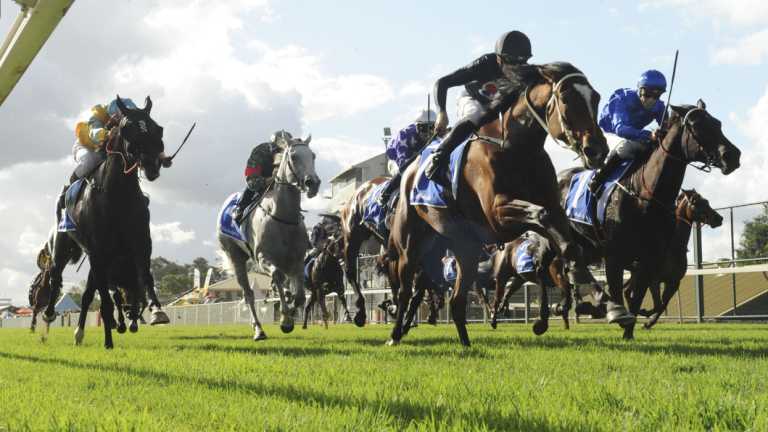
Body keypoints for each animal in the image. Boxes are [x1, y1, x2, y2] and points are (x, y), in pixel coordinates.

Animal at [42, 95, 169, 348]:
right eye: (129, 129)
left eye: (157, 128)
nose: (152, 164)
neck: (118, 196)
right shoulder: (98, 252)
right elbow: (108, 300)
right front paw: (109, 339)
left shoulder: (140, 243)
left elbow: (145, 277)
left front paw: (156, 311)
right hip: (62, 247)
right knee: (55, 276)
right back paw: (50, 313)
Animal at [218, 135, 320, 340]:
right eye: (294, 156)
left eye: (312, 155)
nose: (312, 183)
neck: (282, 217)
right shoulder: (263, 258)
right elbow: (277, 276)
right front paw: (286, 320)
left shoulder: (297, 262)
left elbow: (299, 297)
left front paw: (289, 311)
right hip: (236, 256)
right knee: (248, 294)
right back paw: (258, 330)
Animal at [388, 62, 608, 348]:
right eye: (566, 98)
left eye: (596, 98)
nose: (597, 149)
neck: (518, 149)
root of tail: (411, 170)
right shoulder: (498, 214)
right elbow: (543, 216)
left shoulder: (552, 208)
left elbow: (562, 239)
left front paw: (584, 287)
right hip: (410, 244)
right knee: (406, 290)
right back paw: (395, 334)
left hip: (463, 248)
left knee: (456, 299)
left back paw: (465, 343)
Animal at [628, 188, 724, 328]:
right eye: (698, 203)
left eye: (707, 201)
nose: (719, 218)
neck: (672, 246)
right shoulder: (653, 279)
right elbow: (658, 304)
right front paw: (644, 314)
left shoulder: (673, 282)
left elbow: (662, 305)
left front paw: (649, 322)